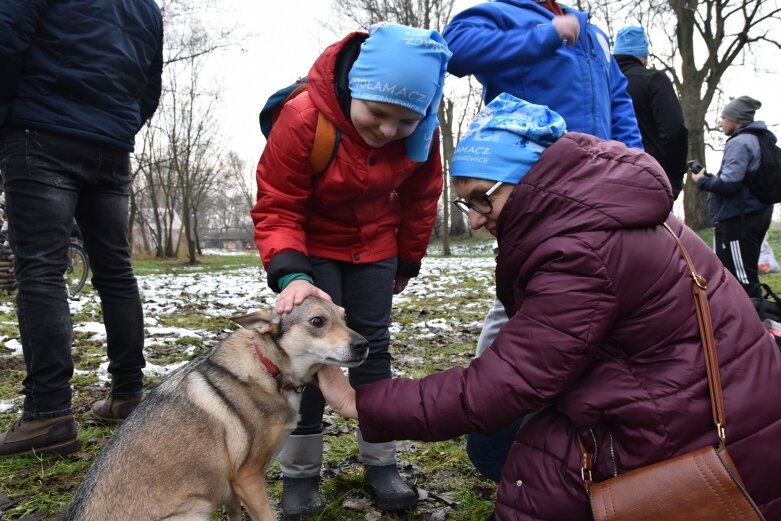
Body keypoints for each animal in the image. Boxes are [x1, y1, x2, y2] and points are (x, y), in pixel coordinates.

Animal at [64, 296, 368, 520]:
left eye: (345, 318)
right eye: (317, 321)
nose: (363, 344)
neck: (268, 367)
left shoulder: (231, 486)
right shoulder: (248, 478)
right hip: (196, 507)